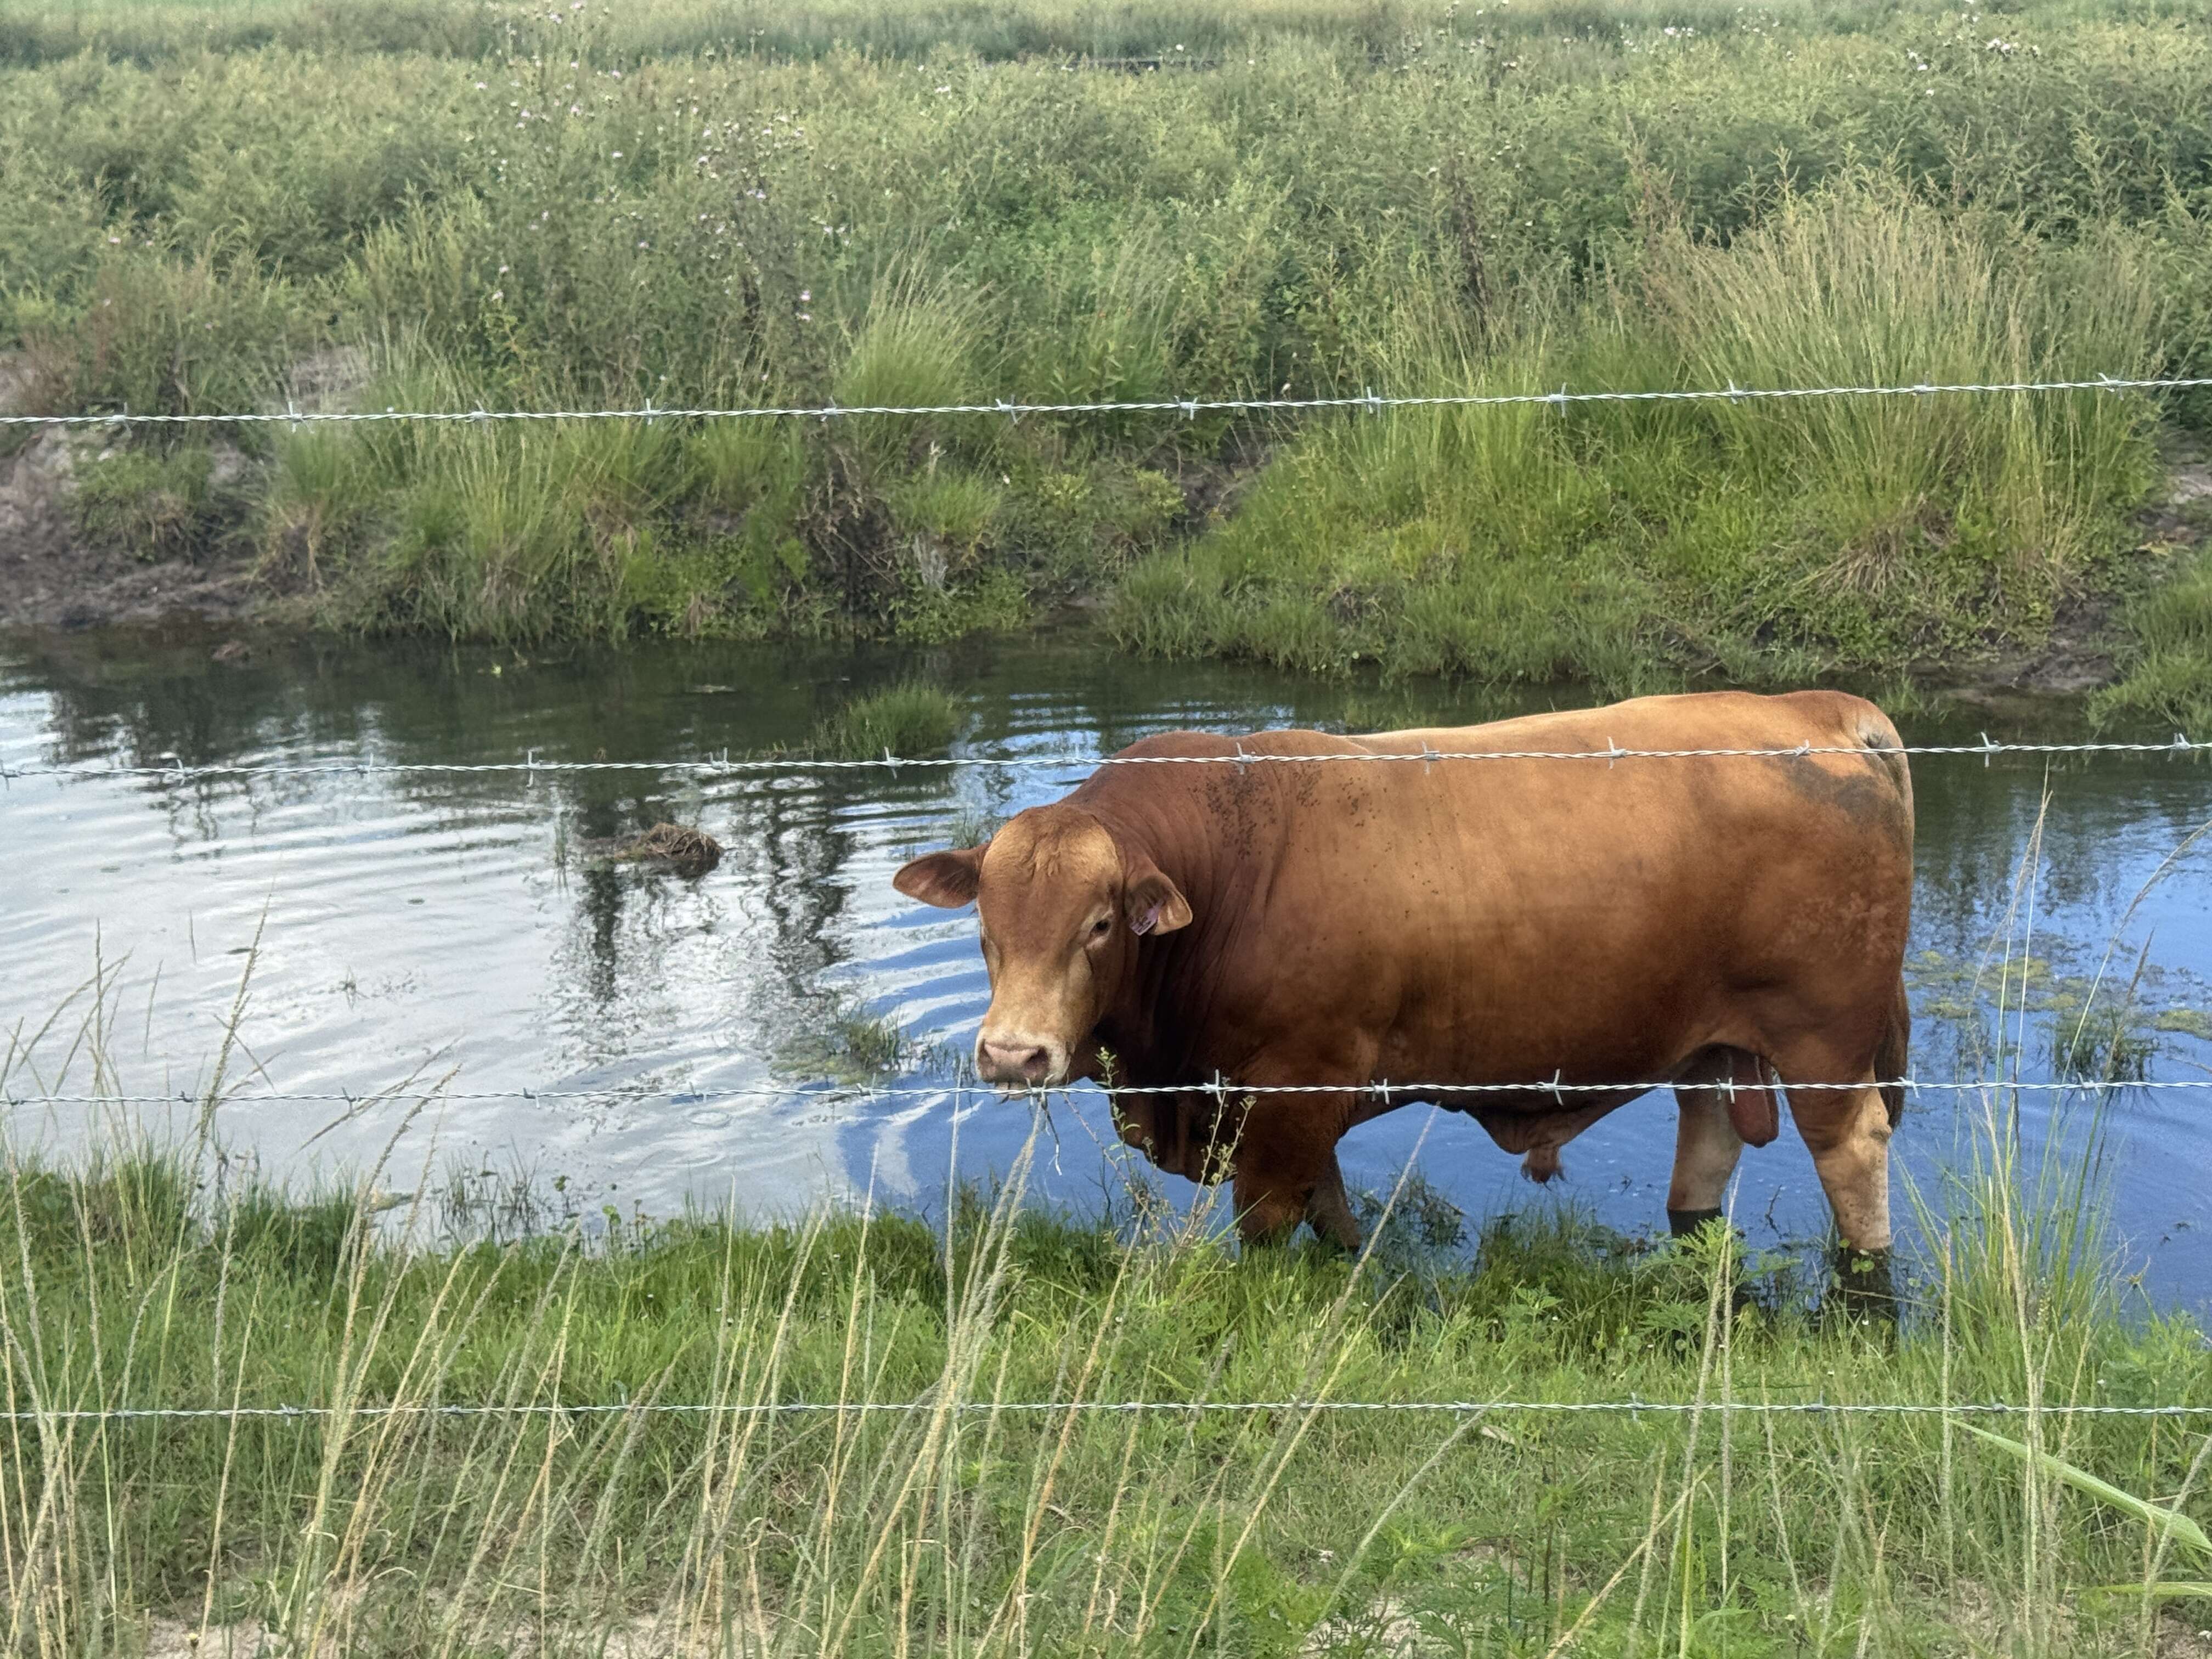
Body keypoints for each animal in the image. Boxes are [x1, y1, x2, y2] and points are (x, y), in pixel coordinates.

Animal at [892, 690, 1912, 1298]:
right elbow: (1333, 1210)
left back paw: (1866, 1297)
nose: (1012, 1053)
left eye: (1100, 923)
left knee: (1851, 1152)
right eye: (984, 917)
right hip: (1710, 1045)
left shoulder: (1289, 1087)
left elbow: (1271, 1219)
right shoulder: (1289, 1097)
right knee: (1707, 1150)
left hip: (1822, 1042)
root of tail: (1814, 706)